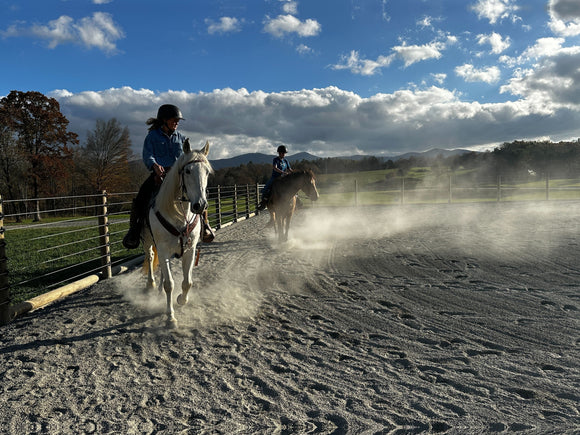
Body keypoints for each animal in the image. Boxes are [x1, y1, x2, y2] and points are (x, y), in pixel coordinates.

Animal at [142, 139, 214, 328]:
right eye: (187, 171)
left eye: (207, 172)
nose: (200, 205)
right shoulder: (164, 249)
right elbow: (170, 284)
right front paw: (170, 317)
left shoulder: (189, 249)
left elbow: (187, 282)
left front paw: (181, 300)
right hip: (148, 240)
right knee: (151, 257)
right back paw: (151, 284)